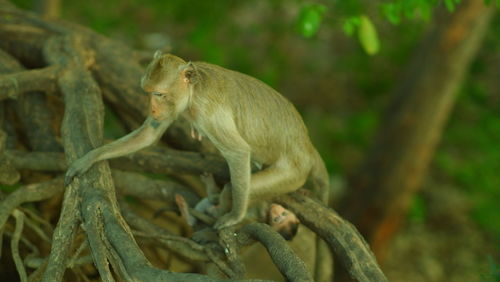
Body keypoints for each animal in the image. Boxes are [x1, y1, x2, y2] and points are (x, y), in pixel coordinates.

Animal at [67, 51, 332, 229]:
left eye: (159, 94)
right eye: (148, 93)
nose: (152, 109)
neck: (194, 91)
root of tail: (307, 145)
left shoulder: (209, 112)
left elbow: (238, 153)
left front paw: (234, 217)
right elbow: (149, 134)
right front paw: (88, 159)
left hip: (292, 172)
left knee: (238, 186)